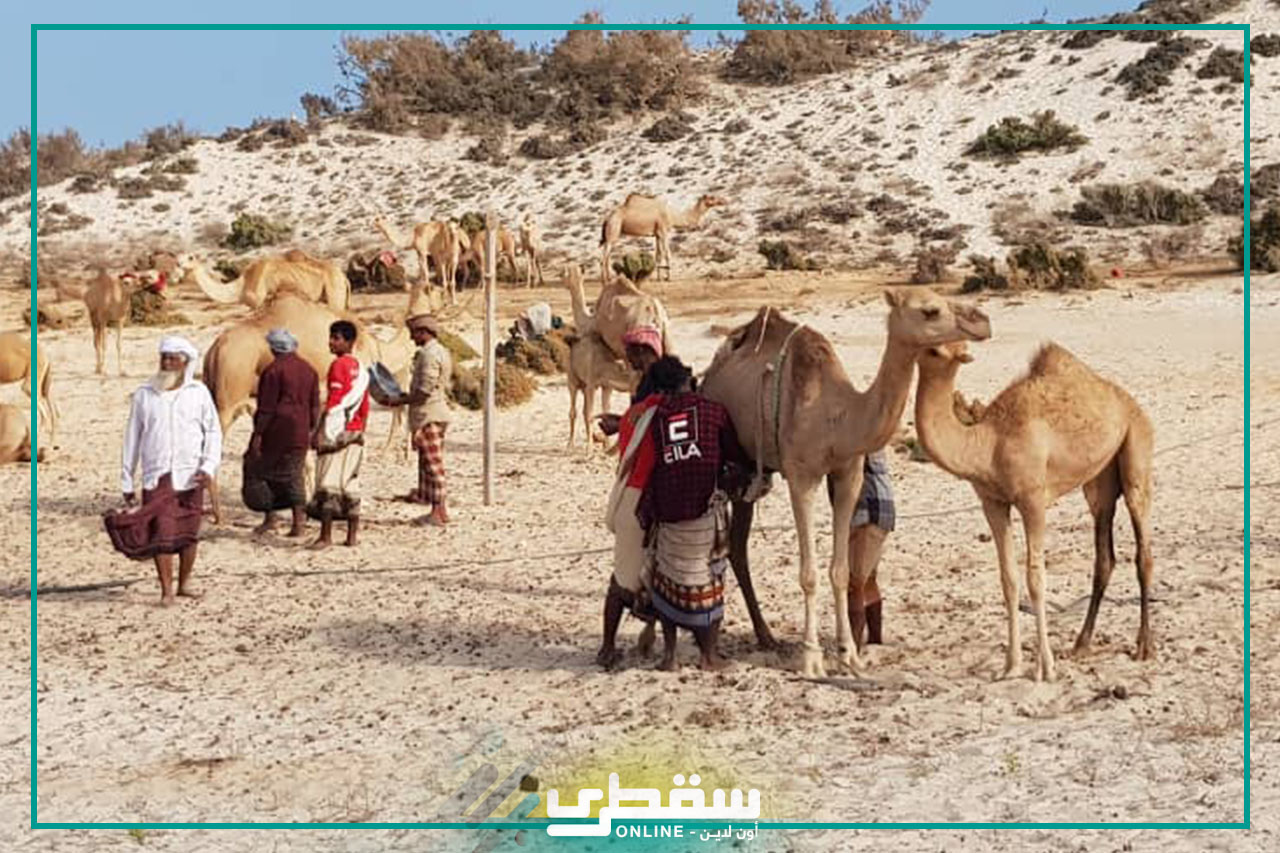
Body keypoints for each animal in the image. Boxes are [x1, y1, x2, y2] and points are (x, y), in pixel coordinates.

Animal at [699, 289, 991, 677]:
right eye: (930, 311)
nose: (983, 321)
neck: (834, 415)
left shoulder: (848, 473)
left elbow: (840, 570)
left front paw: (849, 652)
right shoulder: (801, 477)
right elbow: (809, 574)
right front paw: (811, 658)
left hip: (749, 472)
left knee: (737, 544)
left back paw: (765, 636)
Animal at [913, 341, 1155, 682]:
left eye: (935, 351)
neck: (989, 444)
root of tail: (1125, 399)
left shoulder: (1033, 500)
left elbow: (1035, 579)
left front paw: (1046, 668)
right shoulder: (992, 502)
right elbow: (1009, 579)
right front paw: (1010, 666)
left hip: (1136, 445)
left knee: (1142, 547)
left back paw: (1144, 645)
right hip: (1099, 480)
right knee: (1104, 552)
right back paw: (1082, 643)